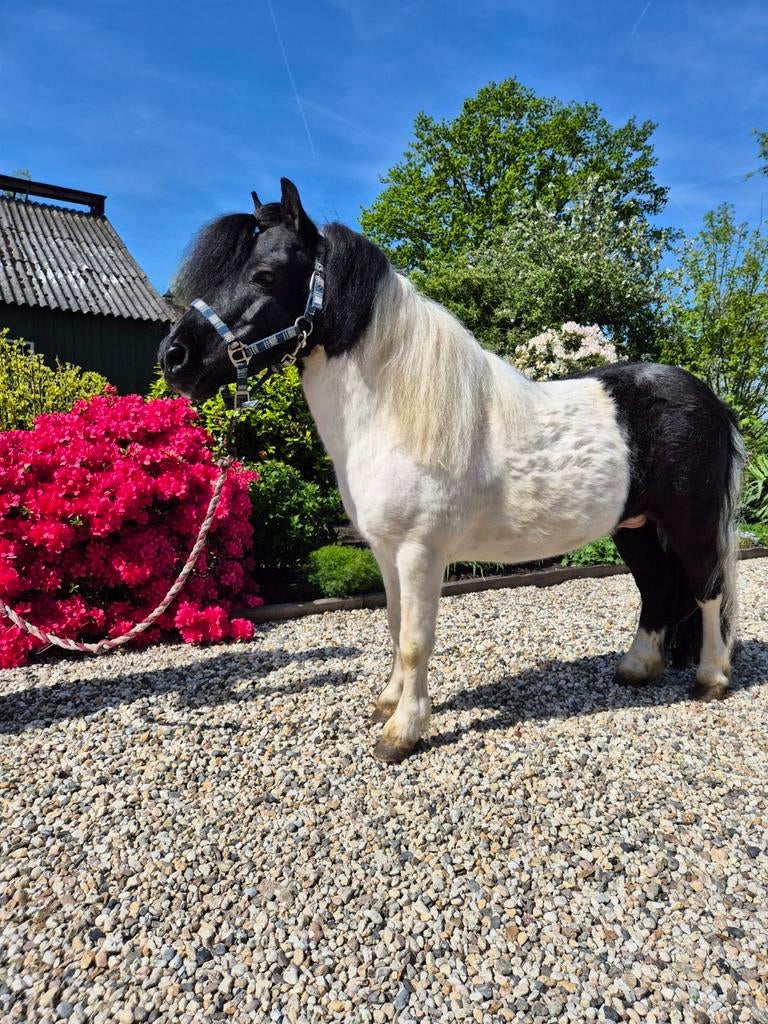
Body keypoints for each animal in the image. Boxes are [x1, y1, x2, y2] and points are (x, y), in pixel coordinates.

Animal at [158, 178, 745, 763]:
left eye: (264, 274)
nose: (175, 357)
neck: (396, 414)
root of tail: (712, 402)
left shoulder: (421, 551)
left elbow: (416, 640)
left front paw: (402, 733)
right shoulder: (386, 551)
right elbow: (396, 626)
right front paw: (387, 704)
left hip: (689, 527)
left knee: (708, 588)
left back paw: (711, 680)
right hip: (635, 528)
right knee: (658, 588)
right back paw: (637, 668)